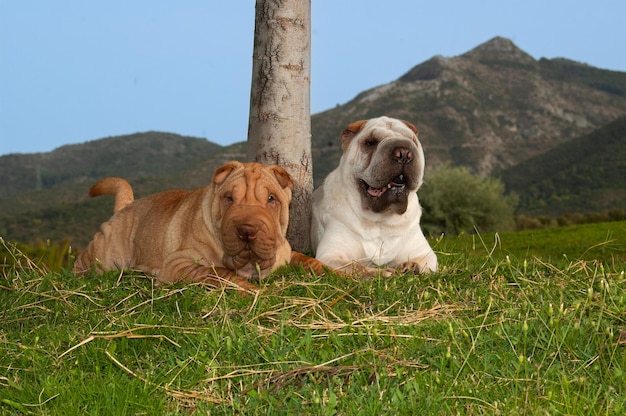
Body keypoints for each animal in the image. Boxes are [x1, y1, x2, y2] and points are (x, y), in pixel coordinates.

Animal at [73, 161, 326, 290]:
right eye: (228, 198)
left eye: (272, 199)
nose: (247, 230)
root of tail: (125, 206)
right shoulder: (179, 264)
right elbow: (219, 273)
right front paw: (254, 292)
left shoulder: (288, 253)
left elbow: (311, 261)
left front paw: (335, 274)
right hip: (106, 256)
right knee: (84, 260)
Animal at [310, 115, 436, 274]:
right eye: (370, 142)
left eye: (412, 140)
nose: (403, 153)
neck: (380, 221)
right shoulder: (331, 254)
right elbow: (357, 267)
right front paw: (383, 273)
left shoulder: (425, 254)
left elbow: (422, 263)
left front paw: (411, 266)